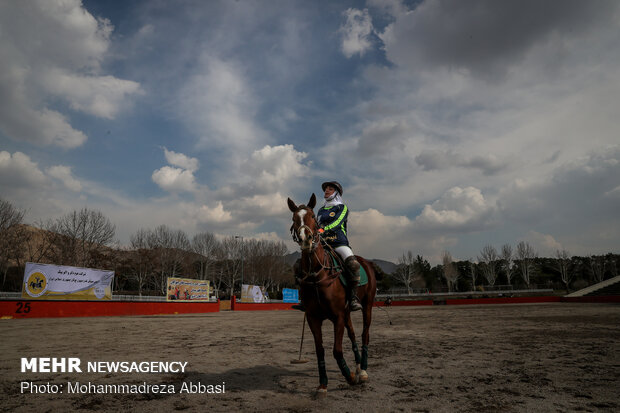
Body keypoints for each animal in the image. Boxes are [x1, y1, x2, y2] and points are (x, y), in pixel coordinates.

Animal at [286, 195, 378, 394]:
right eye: (294, 218)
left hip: (367, 304)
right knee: (353, 335)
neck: (317, 275)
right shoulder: (313, 317)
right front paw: (322, 384)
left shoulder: (337, 316)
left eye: (313, 216)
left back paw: (363, 371)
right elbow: (320, 350)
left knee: (364, 334)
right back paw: (358, 366)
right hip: (348, 312)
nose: (306, 240)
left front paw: (349, 377)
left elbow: (336, 350)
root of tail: (365, 262)